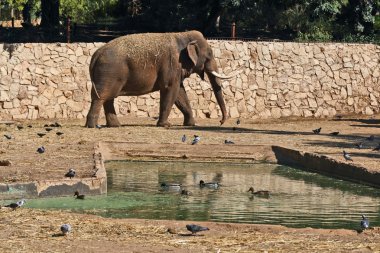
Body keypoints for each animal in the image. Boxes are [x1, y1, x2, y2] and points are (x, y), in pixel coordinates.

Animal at [85, 30, 238, 127]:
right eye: (209, 55)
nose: (220, 122)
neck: (182, 35)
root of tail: (95, 55)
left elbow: (180, 93)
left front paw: (191, 124)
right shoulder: (171, 64)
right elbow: (170, 90)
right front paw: (166, 125)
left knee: (107, 98)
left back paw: (115, 126)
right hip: (109, 73)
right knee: (101, 97)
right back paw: (93, 126)